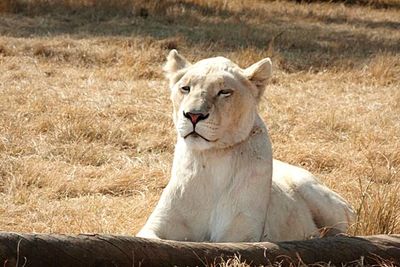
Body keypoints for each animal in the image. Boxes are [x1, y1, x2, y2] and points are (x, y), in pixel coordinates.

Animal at [136, 50, 354, 243]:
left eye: (224, 92)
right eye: (186, 88)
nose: (194, 115)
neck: (213, 159)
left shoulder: (242, 232)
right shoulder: (156, 226)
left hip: (318, 195)